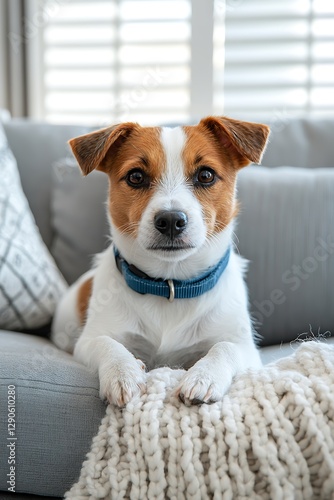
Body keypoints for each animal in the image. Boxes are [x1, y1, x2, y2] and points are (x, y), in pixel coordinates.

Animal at [52, 116, 272, 406]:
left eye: (205, 175)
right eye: (136, 176)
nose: (170, 220)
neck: (171, 284)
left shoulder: (245, 348)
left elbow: (225, 347)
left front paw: (204, 377)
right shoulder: (88, 341)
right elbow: (107, 344)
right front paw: (123, 372)